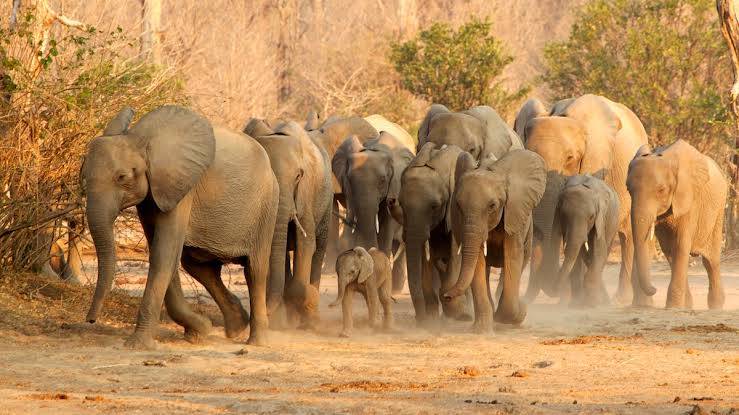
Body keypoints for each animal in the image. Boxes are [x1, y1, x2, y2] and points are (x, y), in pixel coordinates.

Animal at [81, 105, 278, 350]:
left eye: (122, 177)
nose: (90, 320)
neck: (141, 141)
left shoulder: (182, 187)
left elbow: (163, 254)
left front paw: (138, 345)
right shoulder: (152, 194)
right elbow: (163, 253)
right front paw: (199, 331)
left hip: (267, 207)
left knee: (255, 270)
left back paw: (257, 342)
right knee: (197, 265)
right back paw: (236, 326)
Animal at [394, 143, 474, 324]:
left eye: (434, 206)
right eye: (401, 204)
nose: (420, 318)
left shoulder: (454, 210)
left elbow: (455, 255)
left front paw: (458, 313)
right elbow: (425, 257)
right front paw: (430, 318)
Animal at [556, 174, 620, 308]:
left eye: (591, 217)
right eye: (564, 215)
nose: (555, 290)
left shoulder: (601, 217)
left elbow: (599, 250)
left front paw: (591, 304)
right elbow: (578, 251)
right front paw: (576, 305)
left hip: (613, 222)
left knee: (604, 251)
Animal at [628, 141, 724, 310]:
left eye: (661, 190)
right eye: (628, 189)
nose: (654, 289)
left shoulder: (689, 199)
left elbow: (680, 245)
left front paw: (673, 308)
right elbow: (671, 249)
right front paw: (682, 307)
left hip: (718, 211)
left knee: (711, 261)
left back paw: (717, 306)